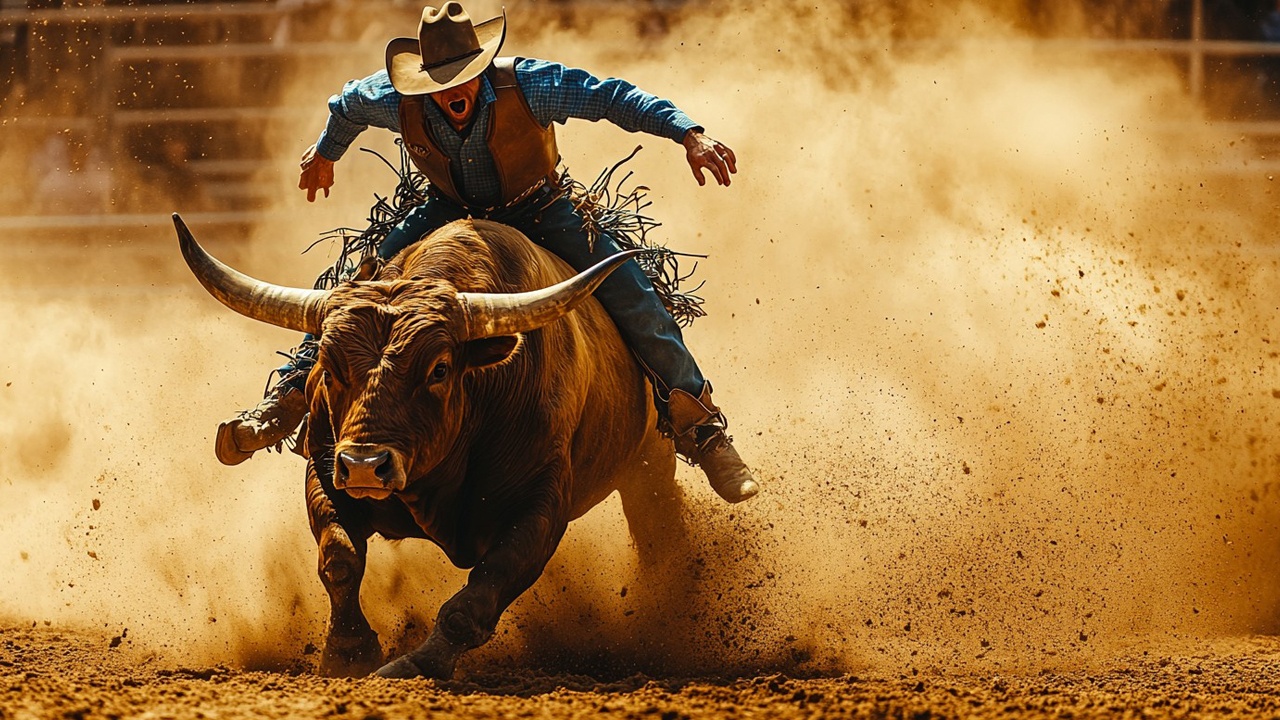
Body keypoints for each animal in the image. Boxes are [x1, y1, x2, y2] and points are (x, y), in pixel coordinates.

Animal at [174, 213, 691, 679]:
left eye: (439, 368)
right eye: (328, 364)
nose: (365, 466)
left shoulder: (541, 505)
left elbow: (479, 595)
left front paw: (415, 663)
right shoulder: (324, 470)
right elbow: (339, 560)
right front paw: (348, 652)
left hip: (651, 463)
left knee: (658, 525)